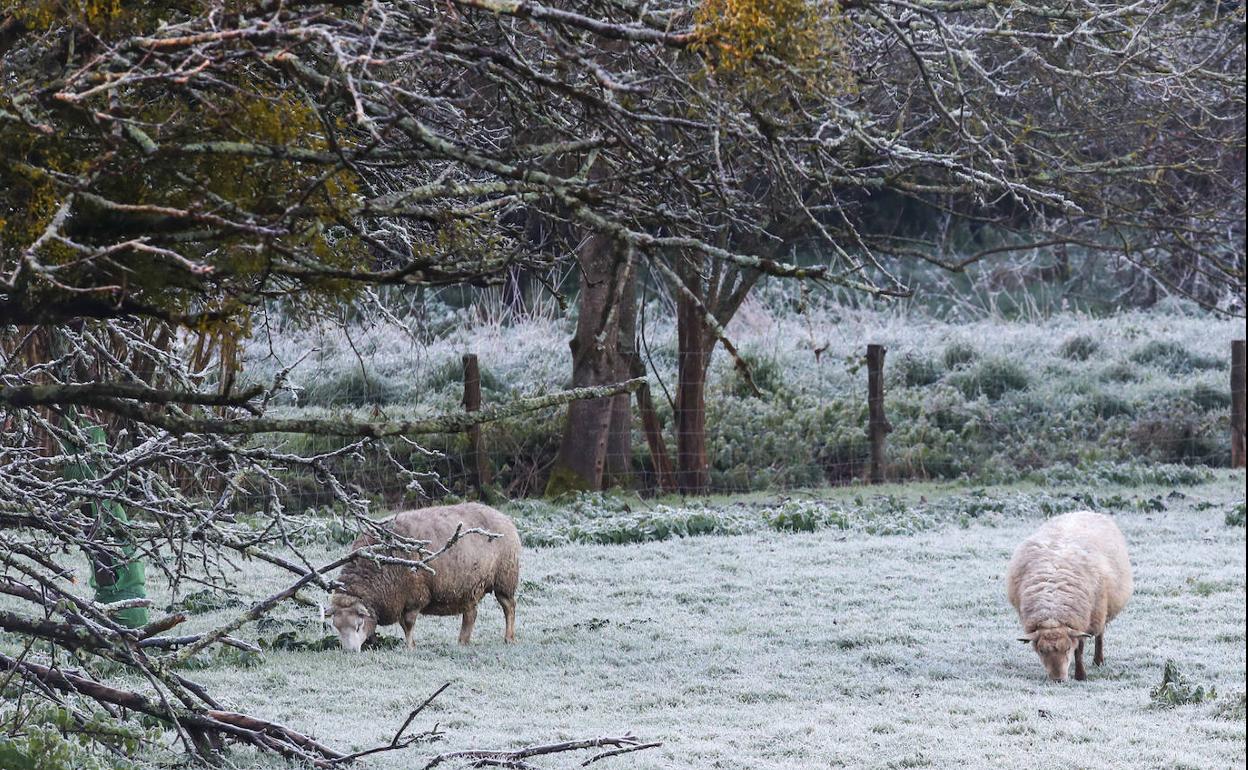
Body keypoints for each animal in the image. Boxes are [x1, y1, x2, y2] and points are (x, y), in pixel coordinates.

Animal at [329, 501, 519, 653]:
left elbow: (408, 624)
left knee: (509, 606)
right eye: (336, 627)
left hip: (505, 578)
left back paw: (509, 638)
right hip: (468, 586)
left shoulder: (414, 596)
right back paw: (462, 642)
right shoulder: (398, 599)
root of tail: (505, 517)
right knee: (471, 614)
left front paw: (410, 647)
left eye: (358, 625)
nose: (350, 652)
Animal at [1003, 511, 1133, 678]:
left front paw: (1080, 675)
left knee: (1100, 635)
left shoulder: (1084, 621)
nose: (1058, 679)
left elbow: (1080, 650)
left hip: (1101, 610)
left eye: (1067, 649)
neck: (1053, 607)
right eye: (1041, 651)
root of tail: (1083, 511)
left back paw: (1098, 661)